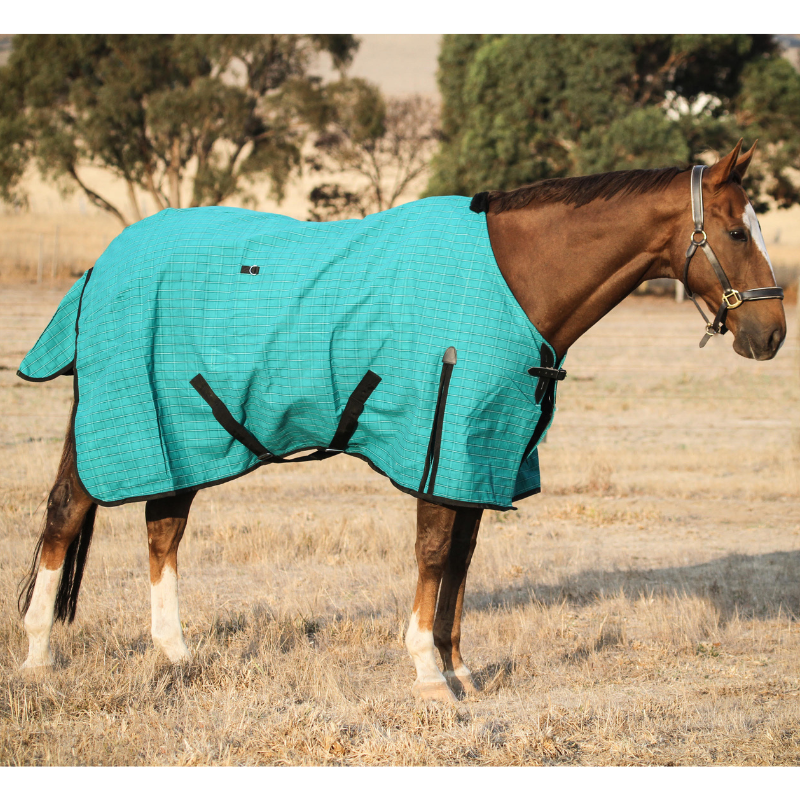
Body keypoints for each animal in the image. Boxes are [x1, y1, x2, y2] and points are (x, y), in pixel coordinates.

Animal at [17, 140, 786, 703]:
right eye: (735, 230)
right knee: (65, 513)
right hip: (124, 421)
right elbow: (435, 554)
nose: (773, 334)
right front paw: (426, 673)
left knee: (162, 528)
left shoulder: (480, 457)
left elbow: (463, 561)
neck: (511, 279)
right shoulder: (441, 444)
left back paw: (176, 654)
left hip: (183, 433)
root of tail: (100, 265)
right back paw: (37, 654)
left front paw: (458, 666)